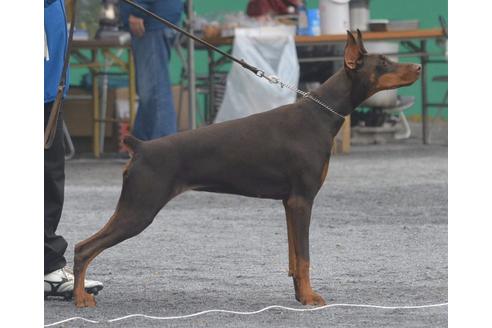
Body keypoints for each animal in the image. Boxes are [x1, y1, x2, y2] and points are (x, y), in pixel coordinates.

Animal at [72, 30, 418, 308]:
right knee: (84, 249)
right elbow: (305, 257)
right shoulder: (303, 200)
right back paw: (80, 298)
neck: (321, 114)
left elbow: (295, 258)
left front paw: (299, 295)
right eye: (383, 62)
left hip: (133, 207)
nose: (417, 67)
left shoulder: (289, 203)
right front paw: (309, 298)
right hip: (139, 209)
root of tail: (141, 146)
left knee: (80, 246)